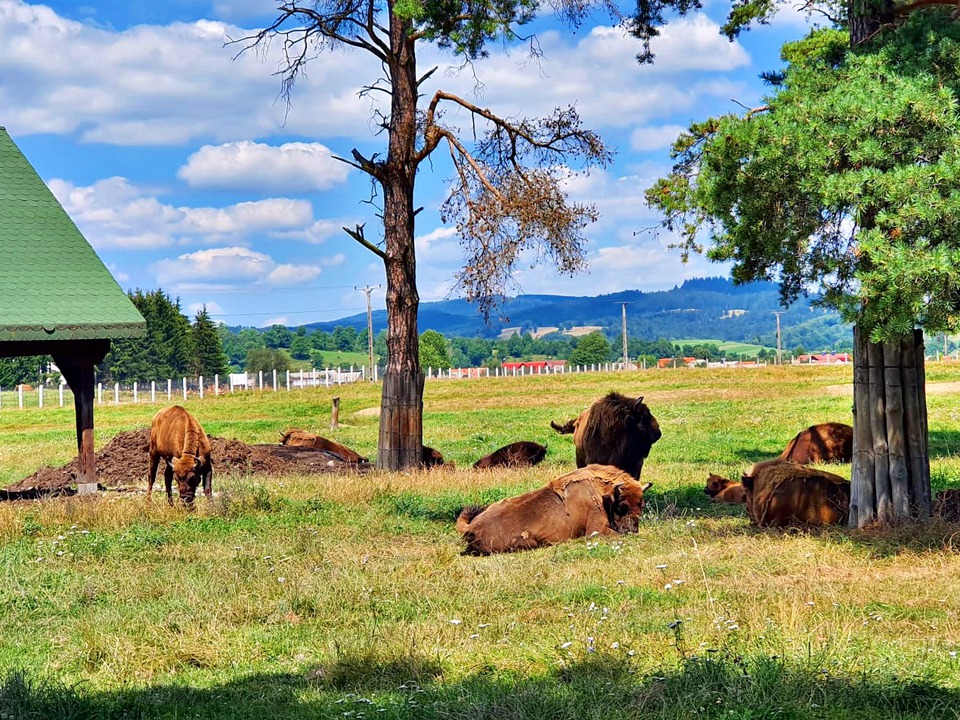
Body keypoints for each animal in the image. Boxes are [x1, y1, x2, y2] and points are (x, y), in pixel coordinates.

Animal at [458, 464, 652, 556]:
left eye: (641, 506)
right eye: (621, 506)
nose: (632, 530)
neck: (602, 492)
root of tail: (473, 526)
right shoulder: (596, 530)